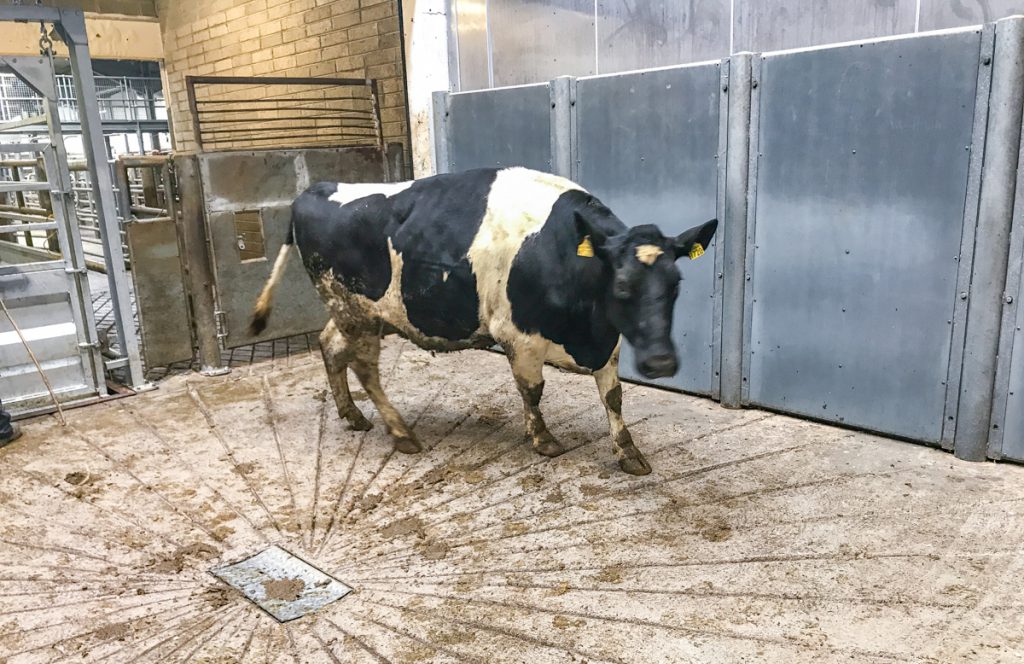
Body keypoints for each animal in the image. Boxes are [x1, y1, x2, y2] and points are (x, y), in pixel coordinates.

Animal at [249, 167, 717, 475]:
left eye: (675, 283)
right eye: (621, 286)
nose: (661, 363)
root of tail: (313, 191)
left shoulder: (609, 340)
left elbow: (614, 398)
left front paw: (628, 452)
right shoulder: (520, 336)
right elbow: (533, 390)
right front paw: (543, 439)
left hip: (350, 312)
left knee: (330, 346)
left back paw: (351, 414)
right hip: (355, 308)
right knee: (365, 368)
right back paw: (401, 433)